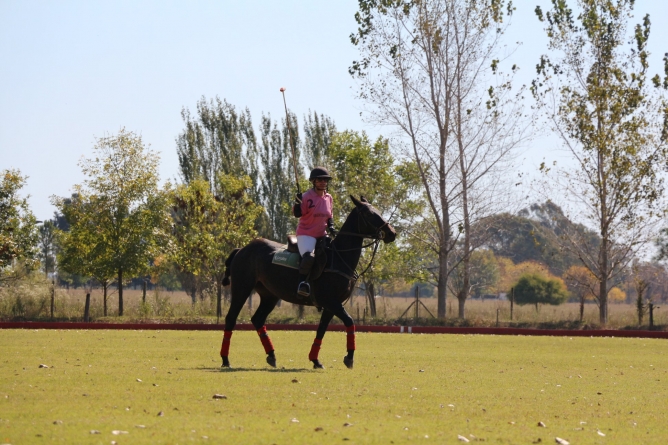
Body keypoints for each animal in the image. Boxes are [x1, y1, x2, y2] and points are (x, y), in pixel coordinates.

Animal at [219, 194, 396, 368]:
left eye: (378, 211)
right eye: (368, 214)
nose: (392, 233)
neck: (339, 257)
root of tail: (241, 249)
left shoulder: (332, 305)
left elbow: (322, 329)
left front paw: (315, 360)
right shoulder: (331, 301)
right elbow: (349, 322)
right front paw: (349, 358)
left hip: (270, 294)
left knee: (257, 319)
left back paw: (271, 356)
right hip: (242, 288)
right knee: (231, 318)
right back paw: (225, 359)